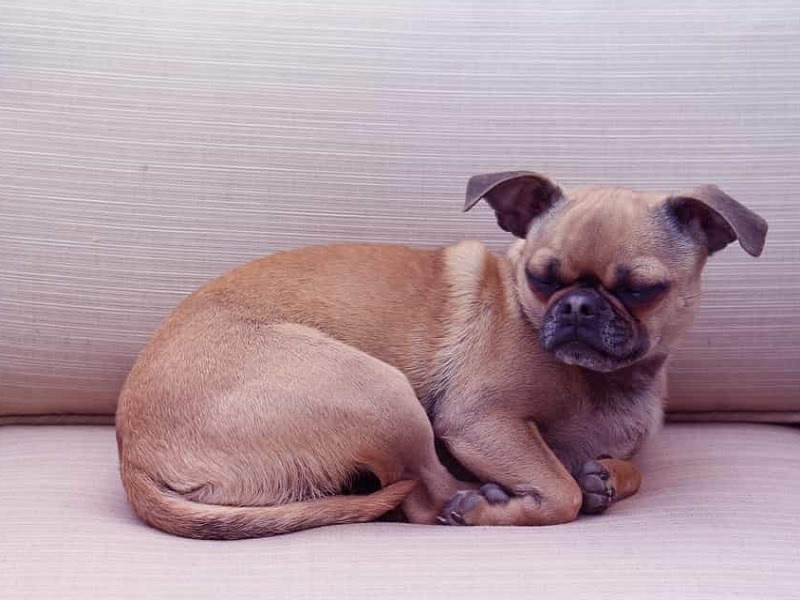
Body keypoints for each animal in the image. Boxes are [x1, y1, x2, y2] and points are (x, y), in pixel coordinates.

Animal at [116, 171, 767, 539]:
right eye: (540, 278)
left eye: (641, 289)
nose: (579, 306)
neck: (602, 383)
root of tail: (132, 459)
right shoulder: (480, 422)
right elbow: (558, 494)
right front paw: (539, 492)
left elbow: (623, 471)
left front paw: (603, 474)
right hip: (383, 393)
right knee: (427, 499)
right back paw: (480, 501)